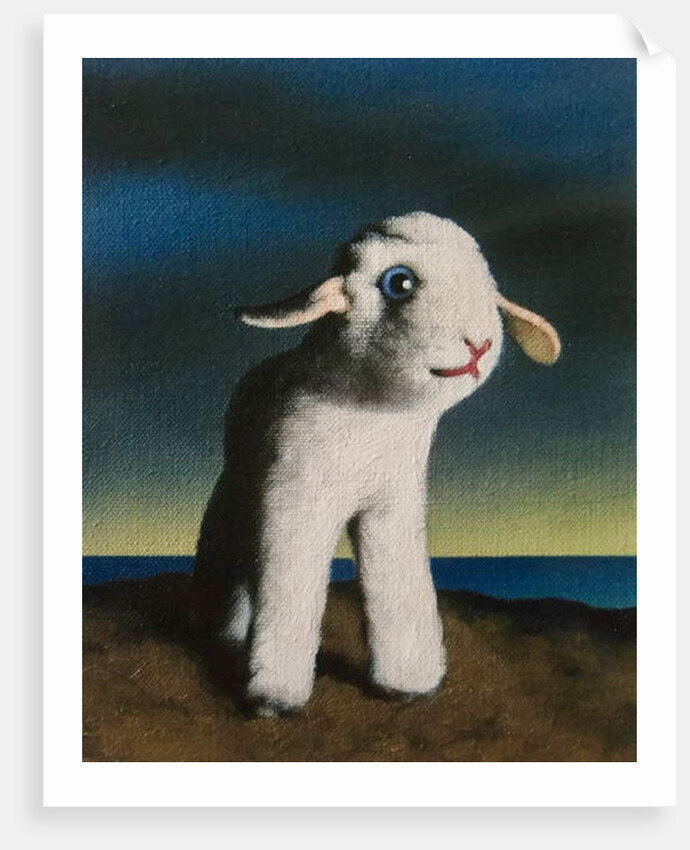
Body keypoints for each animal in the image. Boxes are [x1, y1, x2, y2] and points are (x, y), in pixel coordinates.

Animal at [192, 211, 561, 717]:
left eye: (485, 280)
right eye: (399, 282)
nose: (478, 346)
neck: (372, 413)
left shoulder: (392, 504)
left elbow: (398, 580)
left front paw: (409, 683)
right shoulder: (295, 503)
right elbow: (288, 585)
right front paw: (275, 697)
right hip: (242, 481)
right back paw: (223, 633)